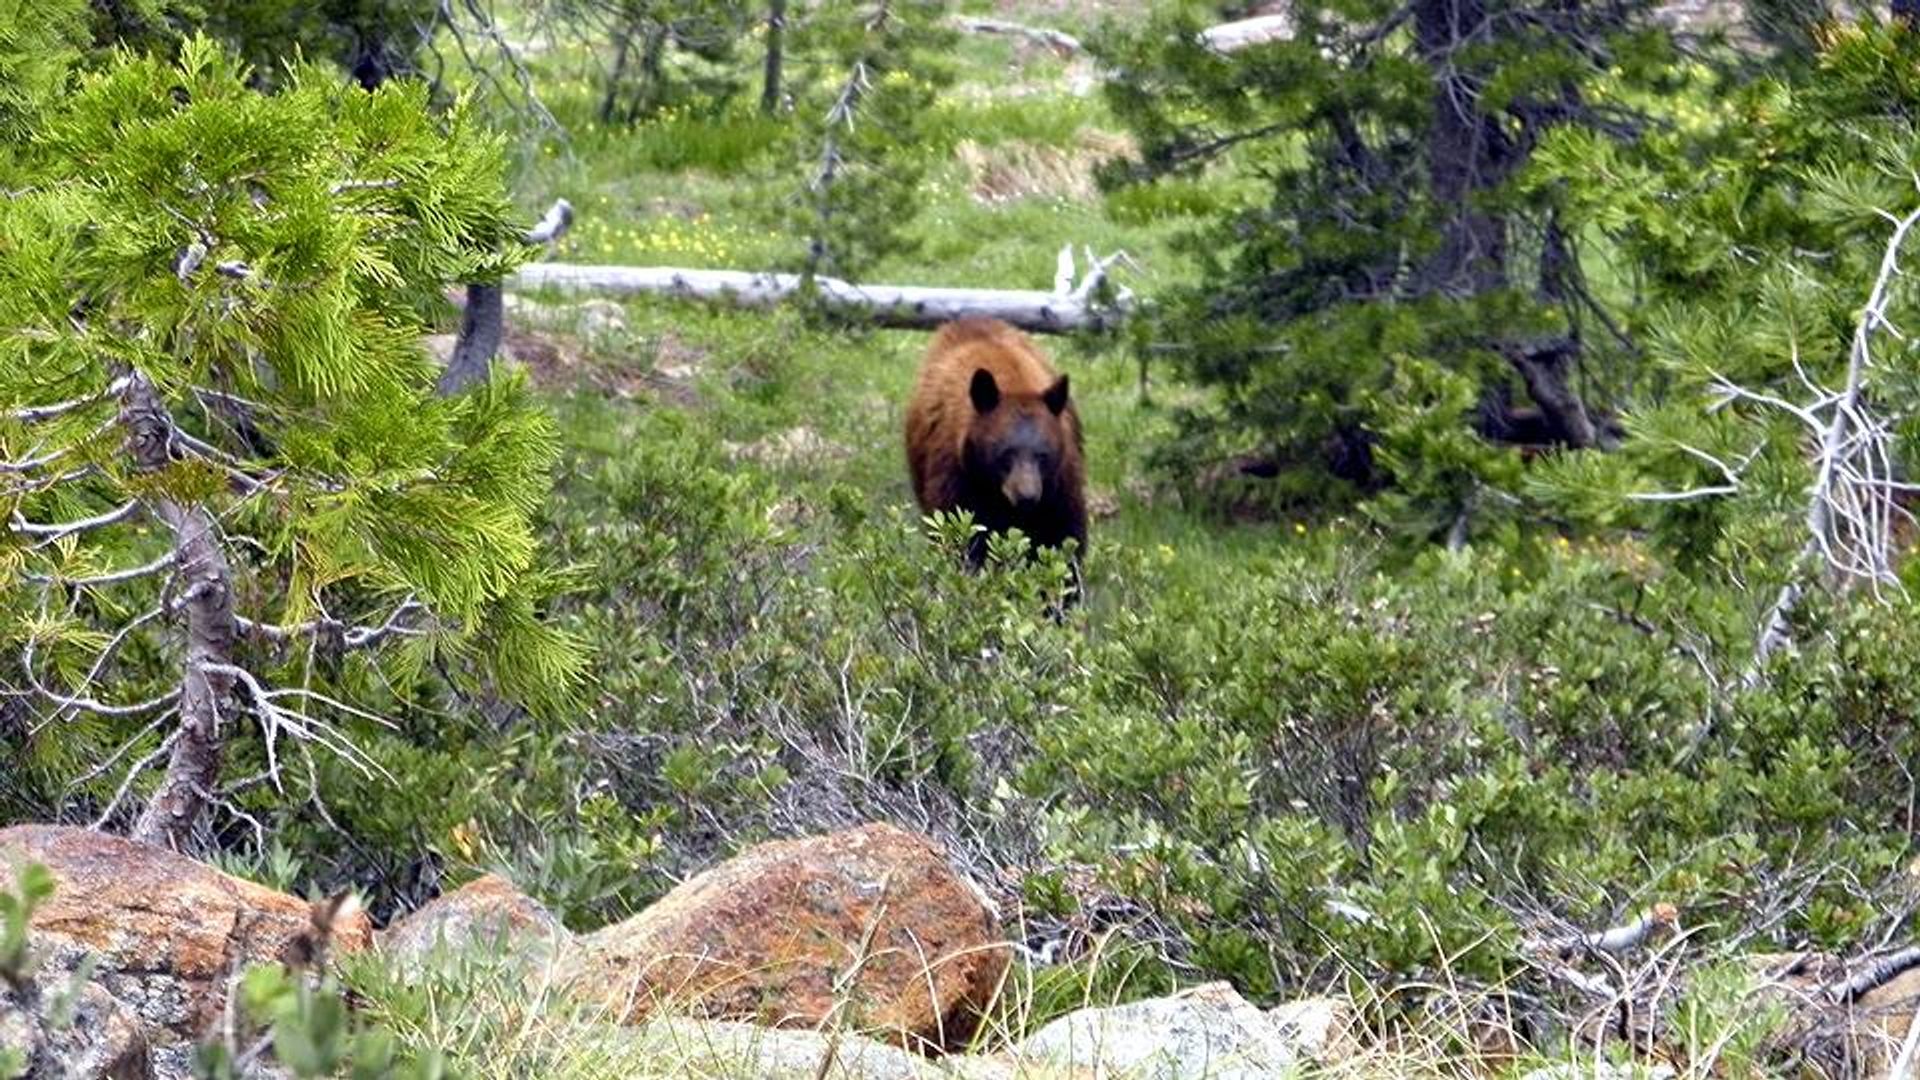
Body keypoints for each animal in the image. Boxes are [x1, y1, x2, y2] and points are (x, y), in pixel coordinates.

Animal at [898, 315, 1082, 576]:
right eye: (1006, 454)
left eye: (1043, 455)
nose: (1027, 497)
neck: (1014, 384)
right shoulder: (957, 473)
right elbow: (962, 535)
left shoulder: (1059, 485)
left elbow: (1062, 539)